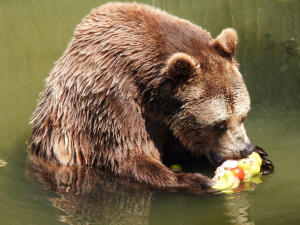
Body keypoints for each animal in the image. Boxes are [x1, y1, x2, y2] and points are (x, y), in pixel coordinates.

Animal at [28, 1, 272, 192]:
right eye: (219, 124)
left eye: (243, 115)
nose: (245, 149)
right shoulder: (112, 99)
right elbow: (130, 157)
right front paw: (197, 181)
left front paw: (264, 156)